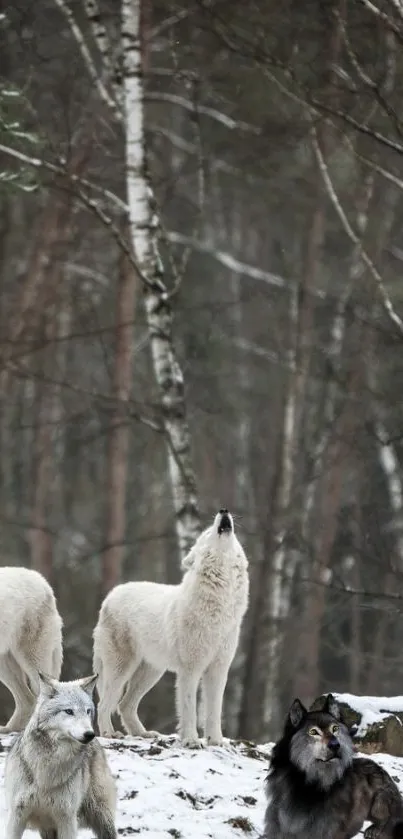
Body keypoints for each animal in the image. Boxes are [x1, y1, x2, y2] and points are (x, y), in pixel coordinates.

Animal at [4, 676, 117, 839]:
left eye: (88, 711)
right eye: (69, 711)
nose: (90, 734)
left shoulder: (66, 818)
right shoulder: (17, 815)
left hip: (100, 815)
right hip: (48, 828)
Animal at [93, 512, 249, 748]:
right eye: (207, 533)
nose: (224, 511)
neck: (220, 607)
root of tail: (109, 597)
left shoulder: (219, 669)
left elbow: (214, 710)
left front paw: (215, 741)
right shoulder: (190, 670)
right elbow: (189, 708)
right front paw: (192, 740)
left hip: (151, 673)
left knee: (125, 705)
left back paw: (143, 733)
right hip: (122, 669)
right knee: (104, 704)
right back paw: (109, 734)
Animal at [264, 696, 403, 839]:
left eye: (335, 729)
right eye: (313, 732)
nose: (336, 745)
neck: (307, 783)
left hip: (379, 799)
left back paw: (374, 830)